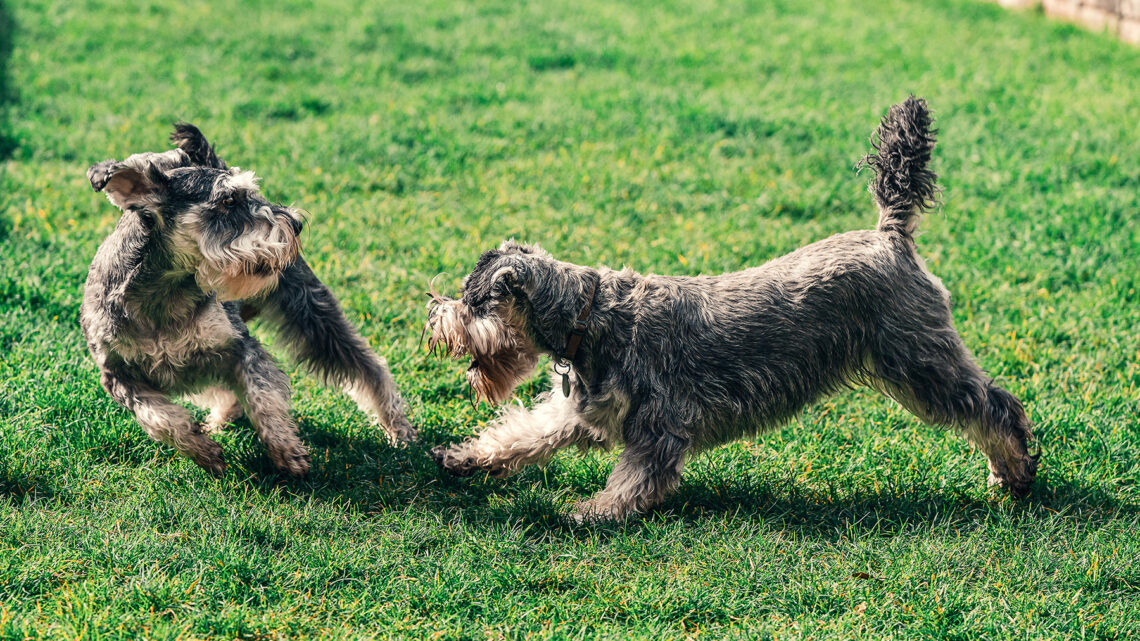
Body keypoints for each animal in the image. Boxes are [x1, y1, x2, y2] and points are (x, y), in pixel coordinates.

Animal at [82, 124, 417, 474]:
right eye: (228, 200)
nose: (296, 223)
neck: (162, 295)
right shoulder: (119, 376)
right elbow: (160, 419)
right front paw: (204, 451)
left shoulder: (240, 347)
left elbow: (262, 396)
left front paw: (286, 451)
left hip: (312, 313)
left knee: (369, 367)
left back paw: (399, 429)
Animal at [428, 97, 1044, 522]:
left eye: (472, 300)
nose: (434, 314)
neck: (588, 317)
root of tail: (890, 236)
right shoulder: (577, 412)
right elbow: (520, 433)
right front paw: (465, 458)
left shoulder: (659, 426)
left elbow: (634, 480)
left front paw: (593, 513)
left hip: (921, 364)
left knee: (996, 408)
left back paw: (1014, 474)